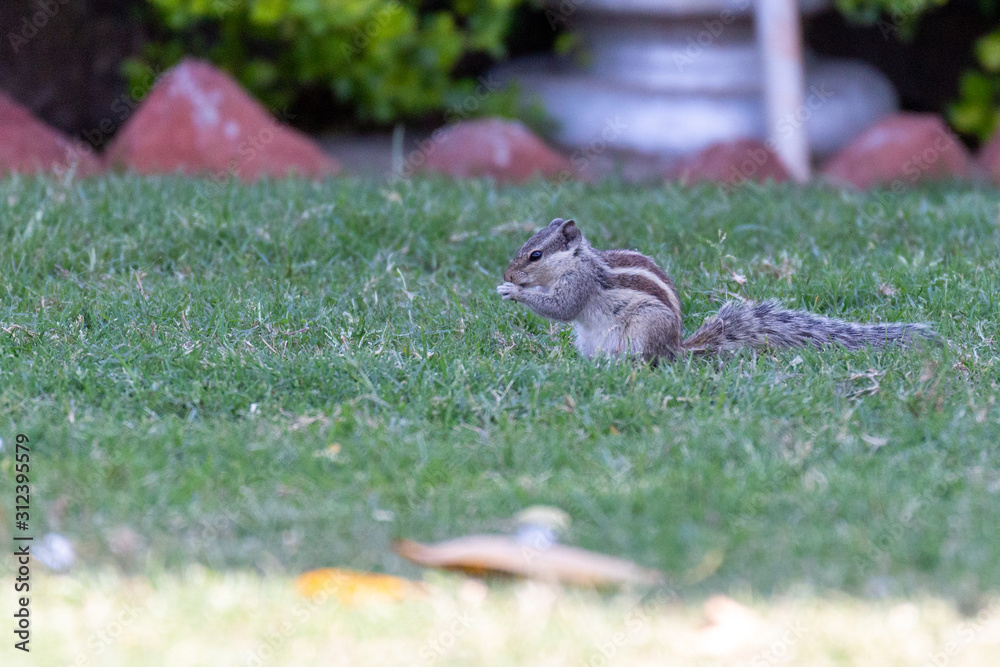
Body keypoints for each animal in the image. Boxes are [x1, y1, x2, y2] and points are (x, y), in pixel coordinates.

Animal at [496, 218, 933, 362]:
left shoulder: (579, 283)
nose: (508, 271)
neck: (575, 260)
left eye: (535, 255)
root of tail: (676, 345)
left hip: (644, 329)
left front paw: (512, 292)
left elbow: (561, 307)